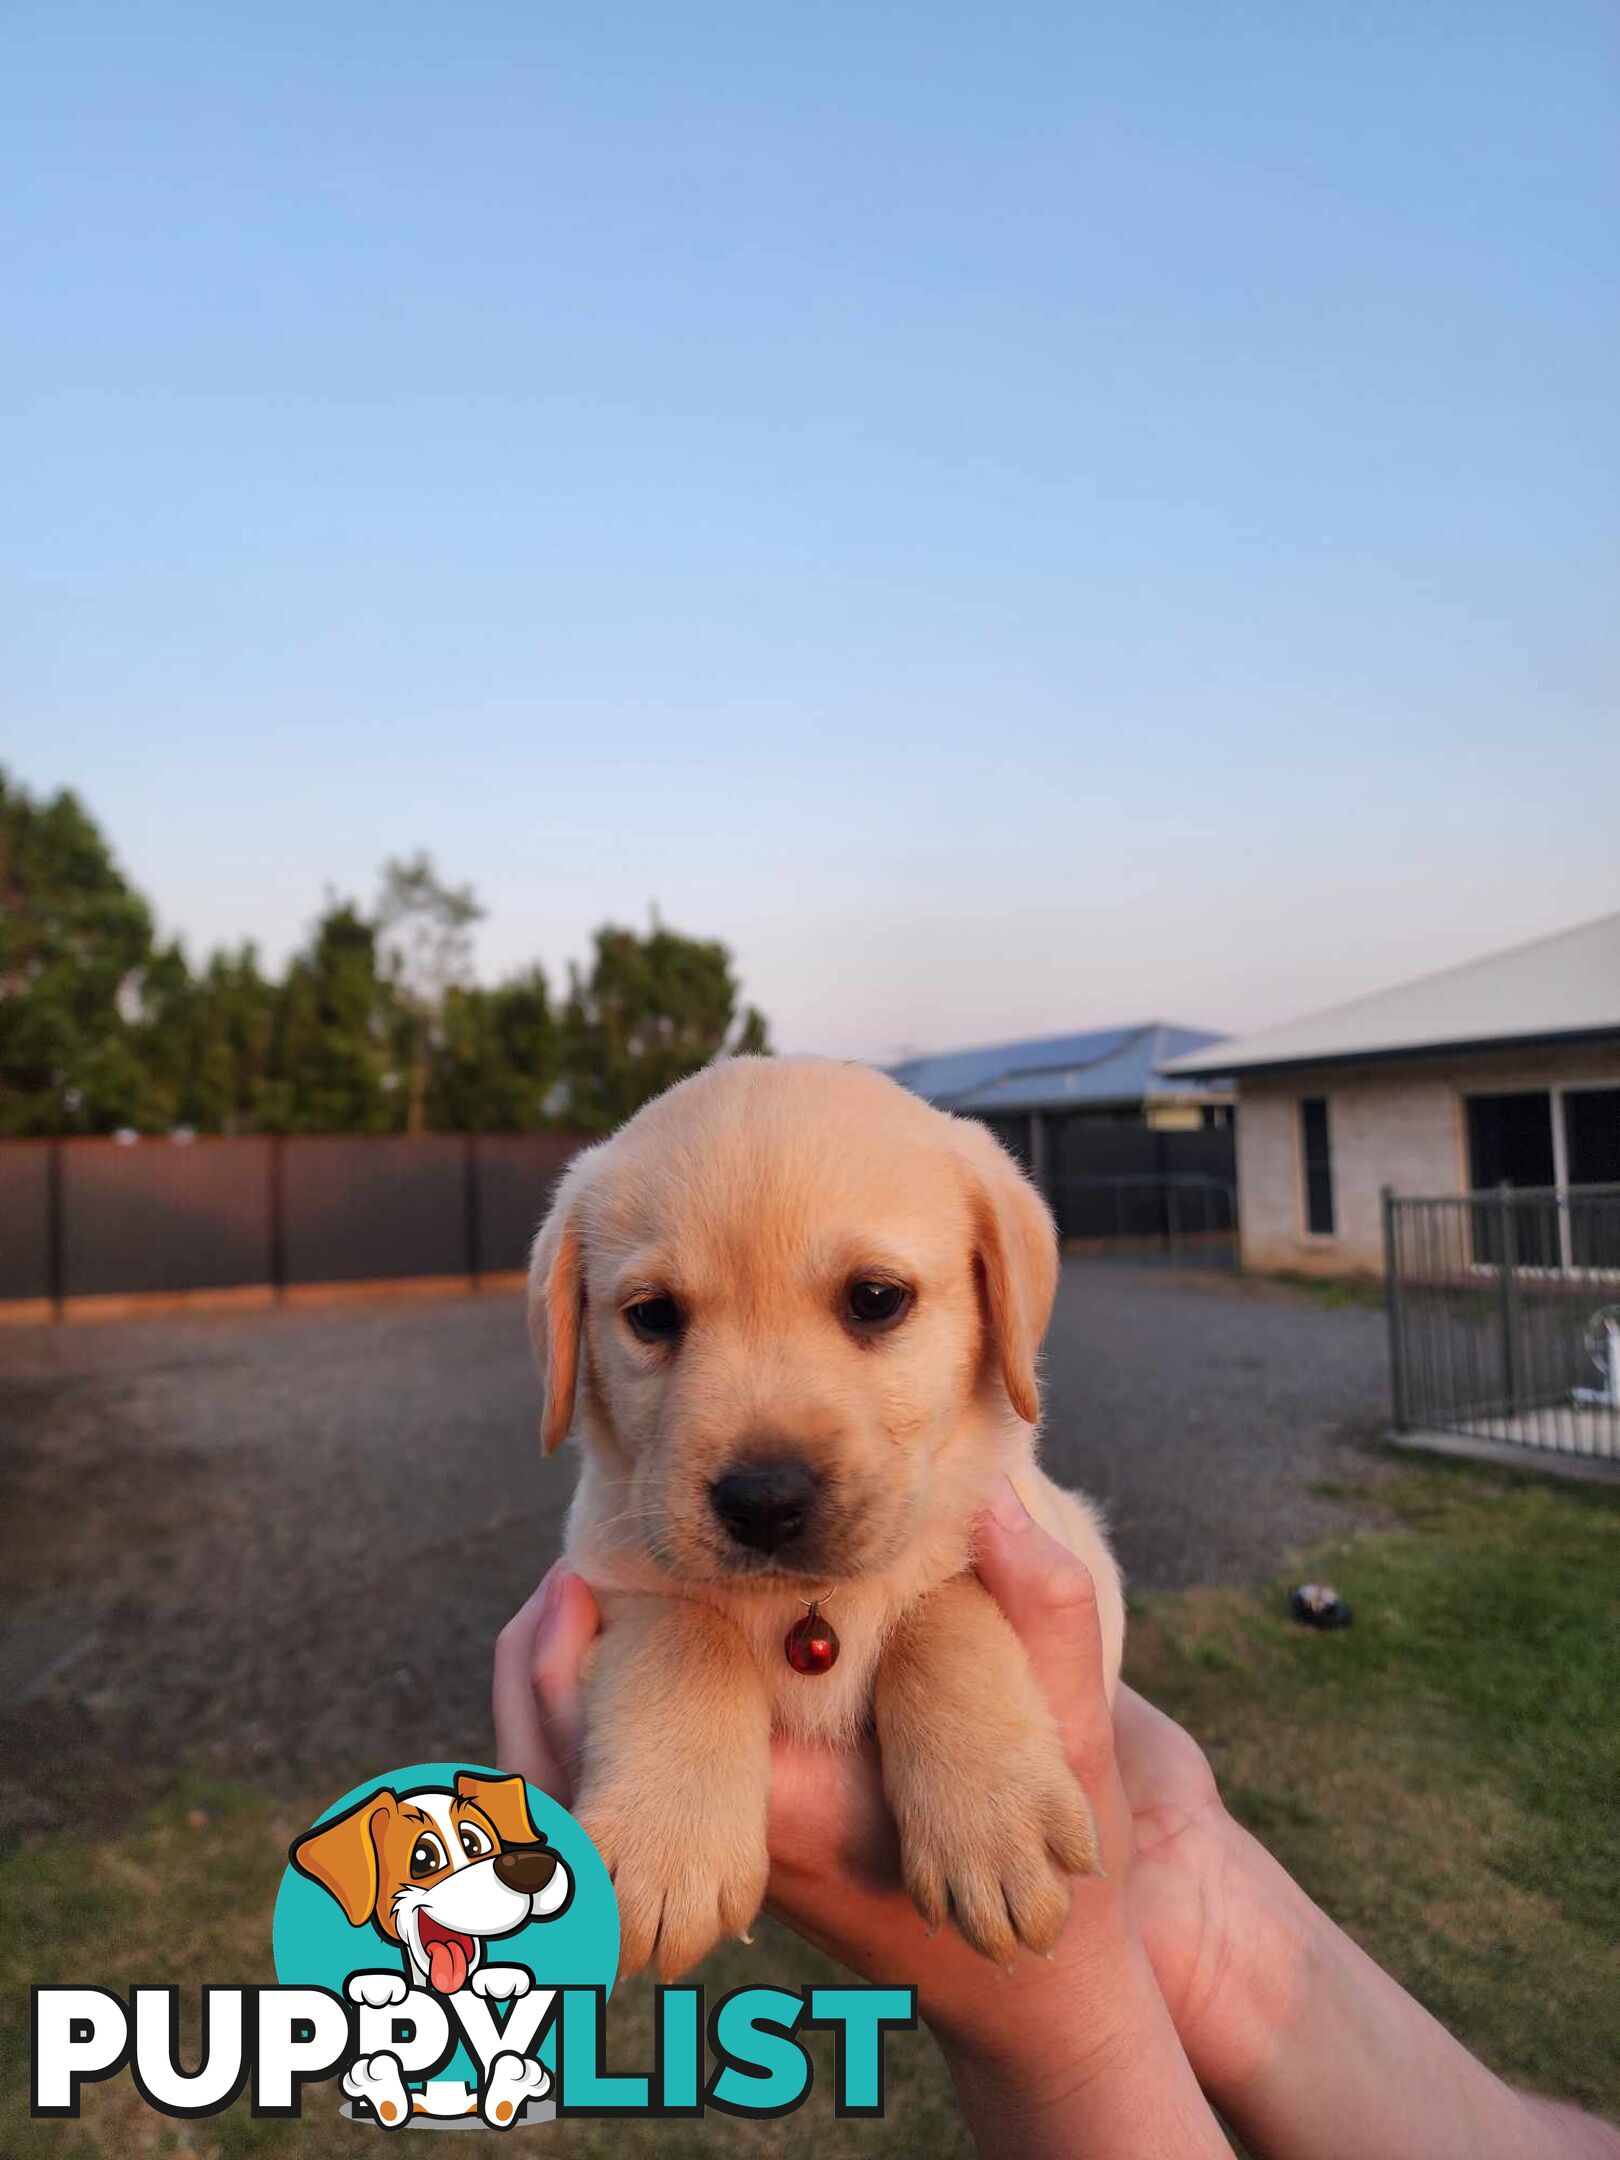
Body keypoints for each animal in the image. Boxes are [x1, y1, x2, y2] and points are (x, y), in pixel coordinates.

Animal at [527, 1054, 1123, 1978]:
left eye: (876, 1298)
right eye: (653, 1316)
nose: (764, 1501)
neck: (803, 1606)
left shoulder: (1051, 1540)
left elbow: (944, 1611)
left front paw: (993, 1822)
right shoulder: (607, 1578)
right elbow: (686, 1633)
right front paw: (668, 1845)